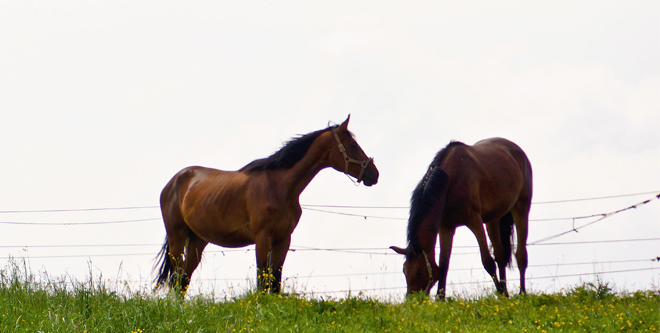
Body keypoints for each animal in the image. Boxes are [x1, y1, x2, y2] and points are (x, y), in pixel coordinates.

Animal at [155, 115, 378, 292]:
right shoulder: (262, 238)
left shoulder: (283, 239)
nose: (374, 174)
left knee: (183, 278)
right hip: (177, 237)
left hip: (198, 240)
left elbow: (275, 281)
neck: (279, 187)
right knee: (176, 276)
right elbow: (262, 280)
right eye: (353, 145)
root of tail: (174, 182)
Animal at [392, 136, 532, 296]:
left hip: (521, 209)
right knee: (500, 255)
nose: (412, 299)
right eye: (404, 271)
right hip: (493, 220)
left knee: (520, 255)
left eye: (419, 272)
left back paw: (522, 293)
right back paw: (506, 294)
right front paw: (440, 298)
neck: (450, 181)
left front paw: (500, 292)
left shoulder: (474, 221)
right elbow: (443, 265)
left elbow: (487, 262)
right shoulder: (446, 228)